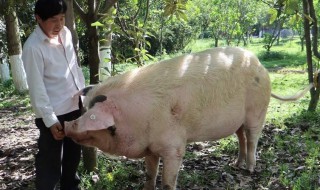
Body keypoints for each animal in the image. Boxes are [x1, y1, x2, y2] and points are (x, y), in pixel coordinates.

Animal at [63, 46, 312, 189]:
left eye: (91, 116)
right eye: (83, 110)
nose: (66, 124)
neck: (136, 114)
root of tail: (261, 66)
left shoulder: (174, 145)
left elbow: (168, 180)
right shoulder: (150, 148)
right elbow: (149, 174)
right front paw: (147, 186)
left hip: (257, 110)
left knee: (252, 139)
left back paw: (249, 169)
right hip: (238, 120)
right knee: (241, 137)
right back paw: (235, 164)